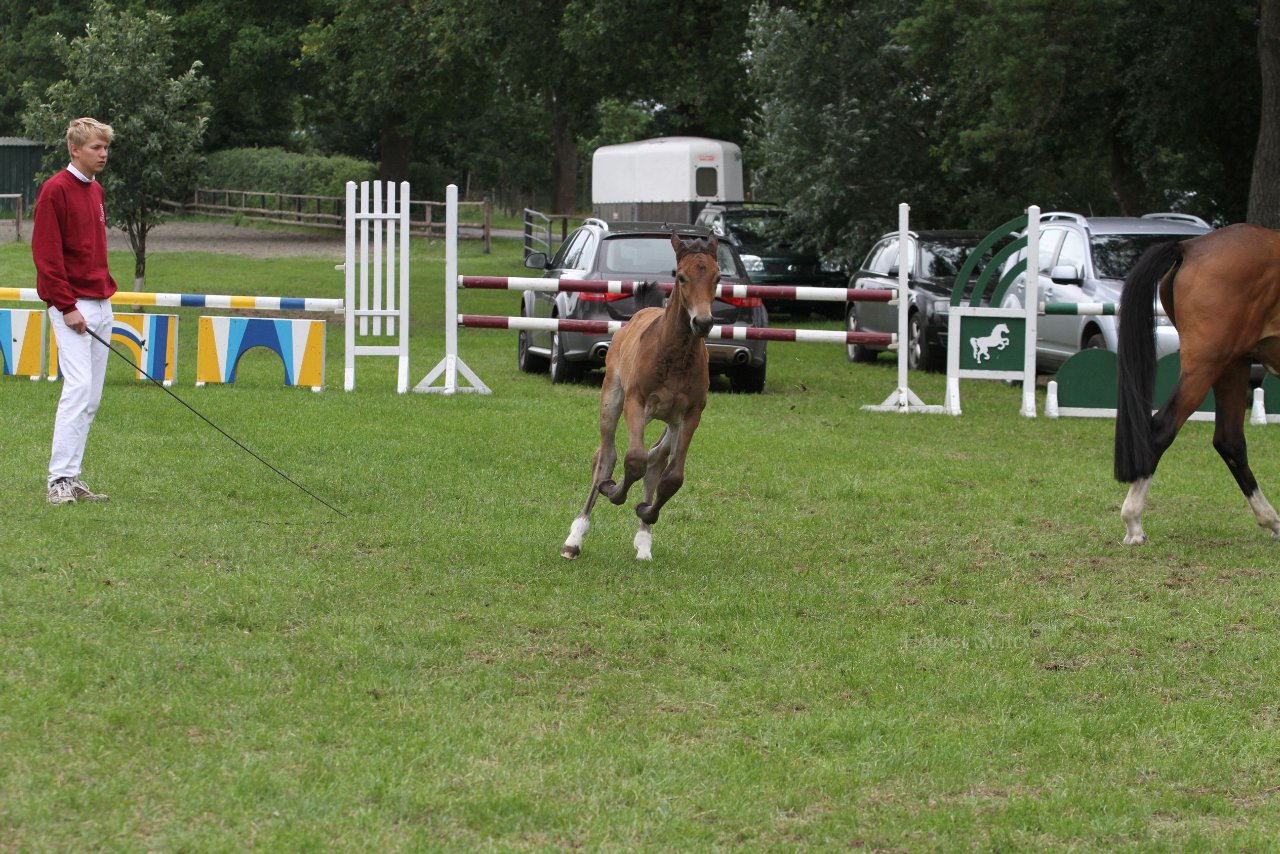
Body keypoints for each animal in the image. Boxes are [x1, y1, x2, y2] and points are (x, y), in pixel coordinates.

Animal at [560, 230, 721, 560]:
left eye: (717, 277)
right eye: (681, 277)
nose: (702, 322)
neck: (675, 354)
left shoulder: (692, 414)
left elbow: (672, 476)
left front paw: (646, 511)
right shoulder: (636, 401)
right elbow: (632, 460)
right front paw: (613, 491)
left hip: (669, 421)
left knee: (656, 458)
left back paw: (644, 543)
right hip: (613, 397)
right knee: (605, 456)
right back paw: (575, 538)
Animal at [1116, 224, 1280, 545]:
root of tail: (1191, 247)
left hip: (1233, 364)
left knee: (1230, 440)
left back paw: (1271, 520)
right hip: (1207, 365)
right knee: (1162, 428)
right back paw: (1134, 523)